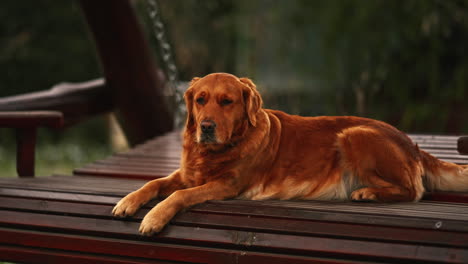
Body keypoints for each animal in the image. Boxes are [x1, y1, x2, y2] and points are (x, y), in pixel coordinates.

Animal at [112, 72, 468, 235]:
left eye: (227, 101)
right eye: (200, 100)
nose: (207, 127)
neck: (216, 150)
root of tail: (411, 143)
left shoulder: (227, 185)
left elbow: (179, 195)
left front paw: (154, 218)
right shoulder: (185, 174)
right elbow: (154, 183)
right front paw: (128, 201)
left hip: (353, 135)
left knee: (414, 190)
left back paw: (367, 192)